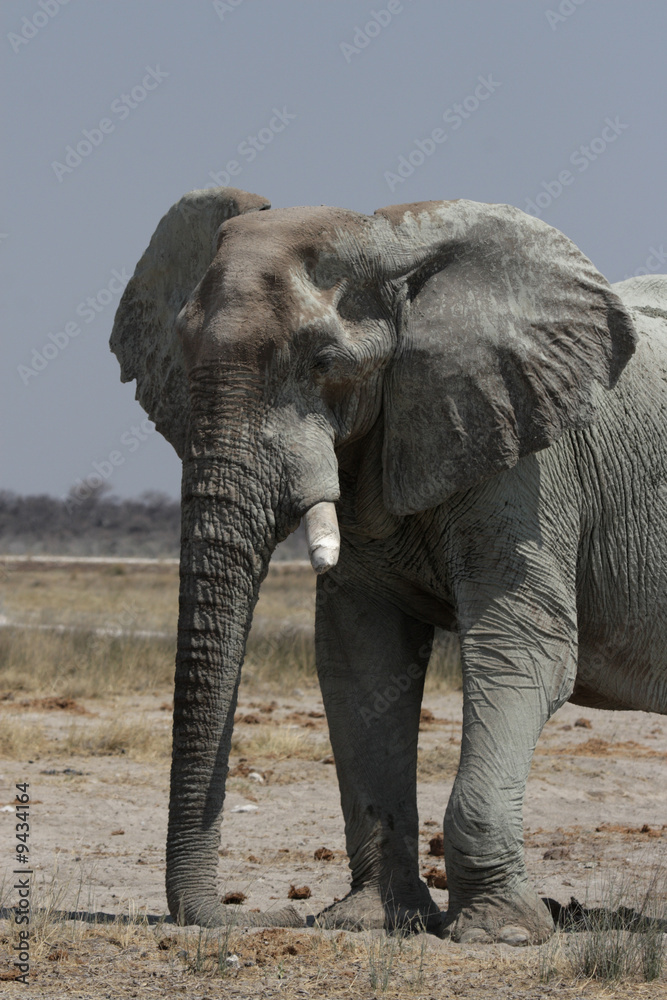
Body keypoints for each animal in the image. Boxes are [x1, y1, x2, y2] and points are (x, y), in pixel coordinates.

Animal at [110, 185, 667, 945]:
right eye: (182, 348)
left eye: (323, 361)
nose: (258, 913)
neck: (396, 252)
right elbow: (361, 656)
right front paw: (372, 923)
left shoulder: (528, 463)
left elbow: (524, 648)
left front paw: (499, 934)